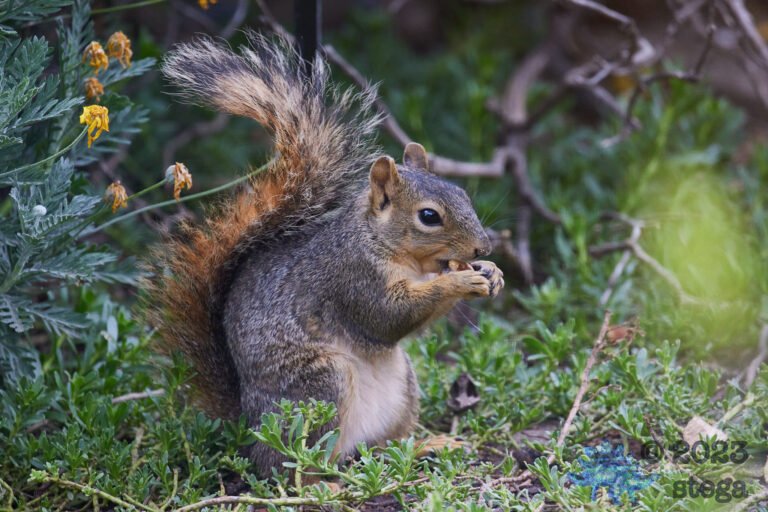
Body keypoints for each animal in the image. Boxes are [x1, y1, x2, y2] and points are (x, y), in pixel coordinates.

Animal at [145, 33, 505, 477]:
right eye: (429, 216)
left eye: (463, 195)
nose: (482, 247)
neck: (386, 245)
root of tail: (248, 428)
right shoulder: (352, 276)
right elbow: (389, 316)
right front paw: (461, 279)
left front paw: (491, 271)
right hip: (319, 387)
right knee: (292, 465)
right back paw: (323, 481)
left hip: (401, 388)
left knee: (379, 447)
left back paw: (425, 445)